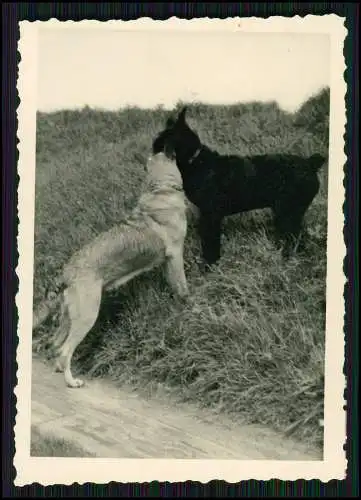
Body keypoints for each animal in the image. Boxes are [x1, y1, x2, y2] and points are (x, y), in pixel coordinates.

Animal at [32, 150, 188, 388]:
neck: (159, 189)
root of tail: (66, 271)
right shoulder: (176, 256)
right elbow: (183, 287)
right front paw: (188, 304)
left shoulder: (167, 262)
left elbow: (174, 285)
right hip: (87, 316)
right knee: (66, 350)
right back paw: (72, 381)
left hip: (68, 318)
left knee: (56, 345)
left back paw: (60, 370)